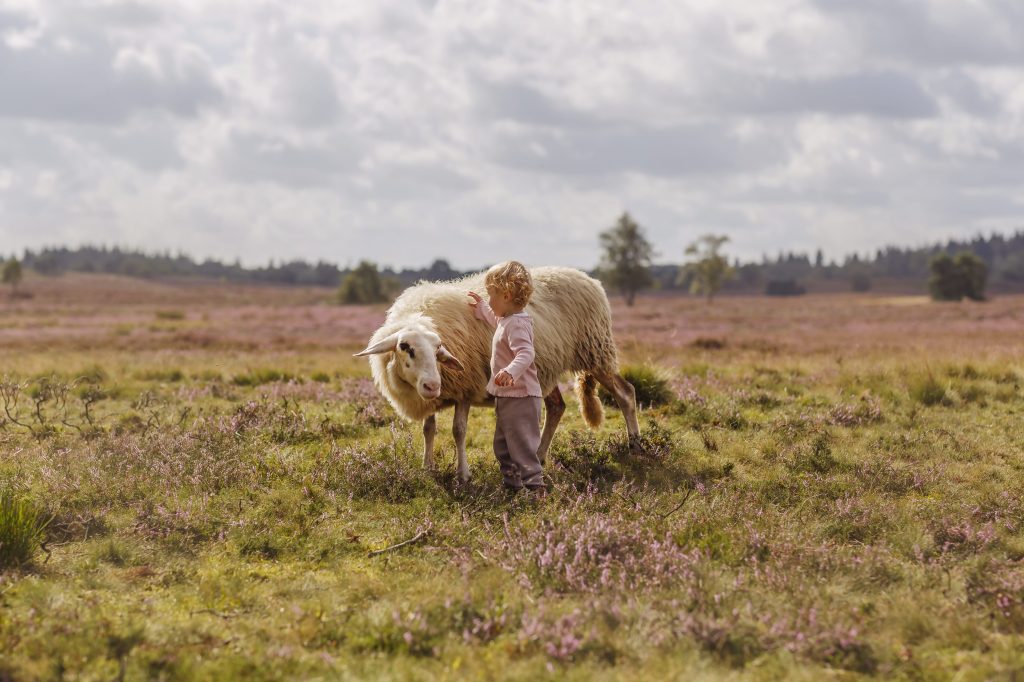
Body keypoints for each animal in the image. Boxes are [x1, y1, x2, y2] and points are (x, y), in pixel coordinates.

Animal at [356, 262, 634, 481]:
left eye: (438, 349)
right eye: (405, 347)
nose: (432, 385)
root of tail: (590, 278)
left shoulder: (465, 389)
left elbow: (459, 431)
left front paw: (463, 475)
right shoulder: (432, 395)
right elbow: (429, 430)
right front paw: (427, 468)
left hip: (595, 350)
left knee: (625, 393)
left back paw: (635, 446)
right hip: (545, 368)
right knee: (557, 407)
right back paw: (540, 457)